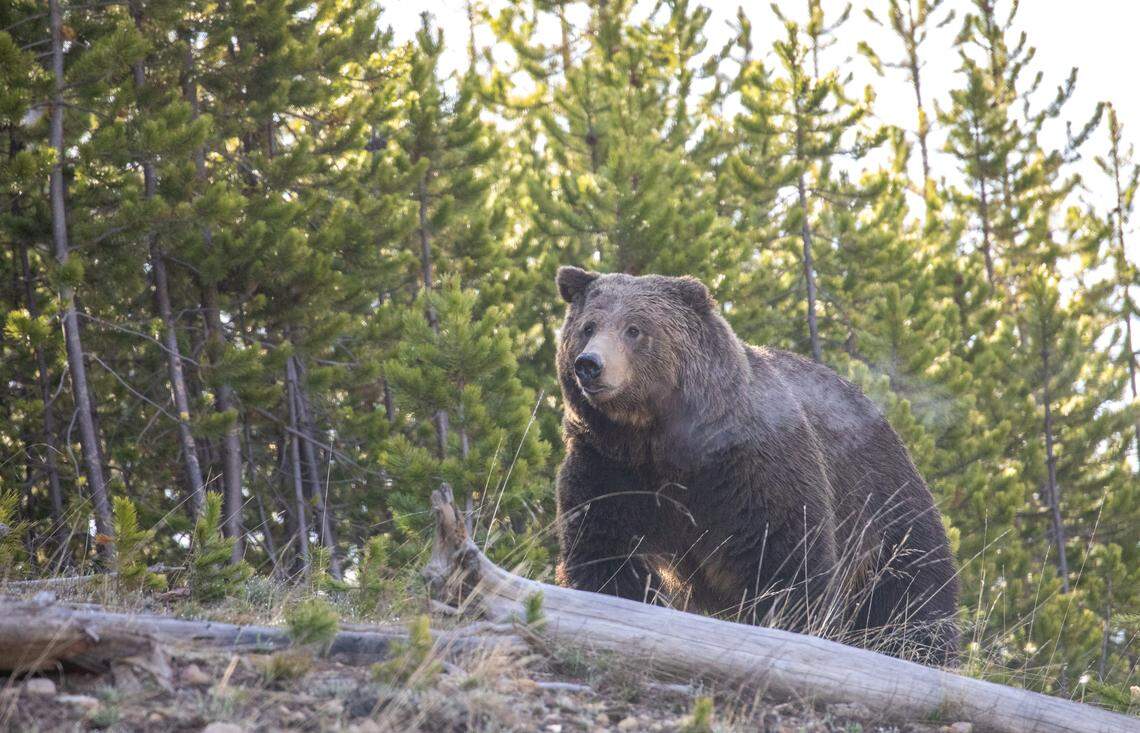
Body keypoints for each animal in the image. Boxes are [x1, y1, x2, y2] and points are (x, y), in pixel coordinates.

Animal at [553, 266, 960, 666]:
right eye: (587, 326)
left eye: (634, 328)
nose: (590, 364)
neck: (657, 440)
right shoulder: (609, 466)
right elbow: (604, 546)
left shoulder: (749, 467)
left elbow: (784, 555)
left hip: (884, 501)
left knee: (912, 589)